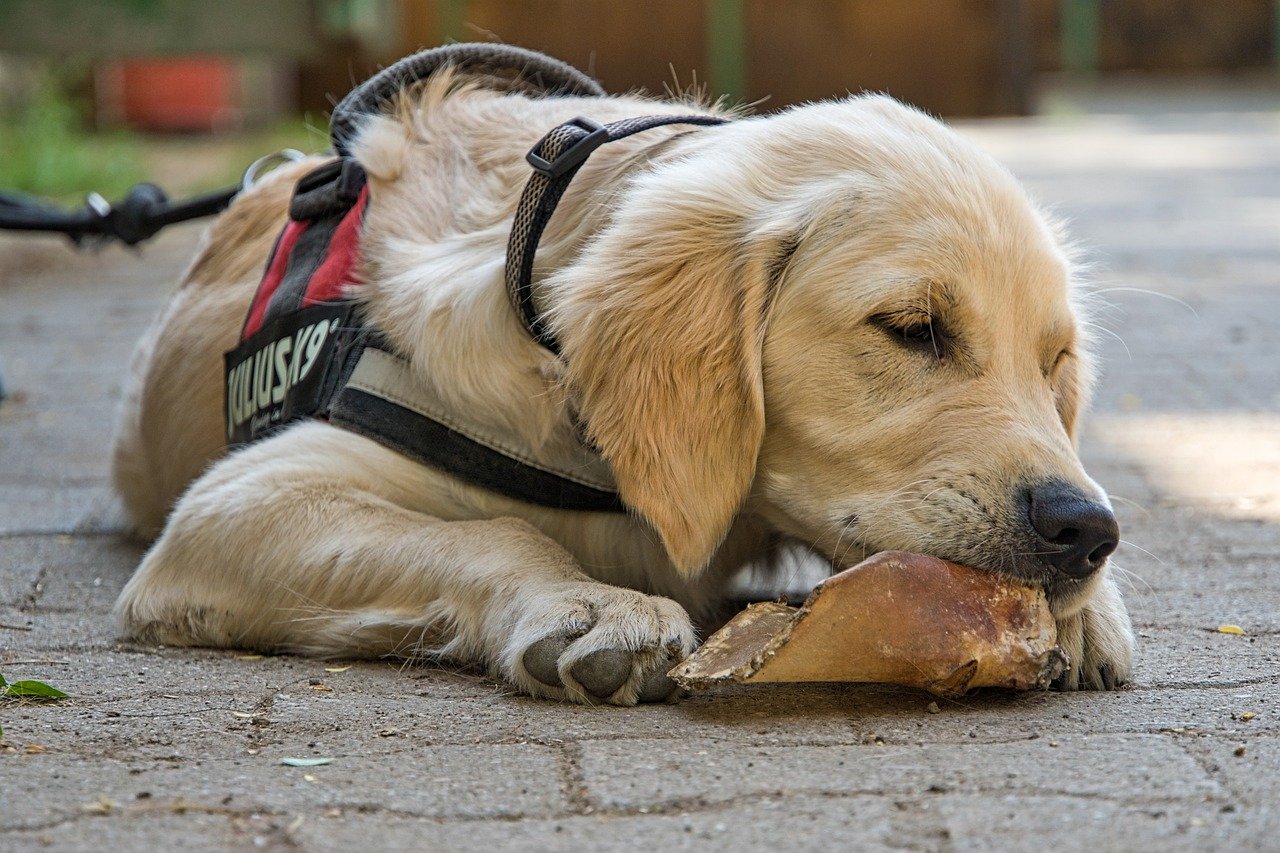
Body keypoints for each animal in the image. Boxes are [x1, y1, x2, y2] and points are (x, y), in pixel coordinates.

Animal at [107, 68, 1131, 701]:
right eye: (914, 328)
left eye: (1055, 365)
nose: (1086, 531)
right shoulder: (235, 501)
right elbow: (496, 529)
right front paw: (591, 606)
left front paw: (1089, 613)